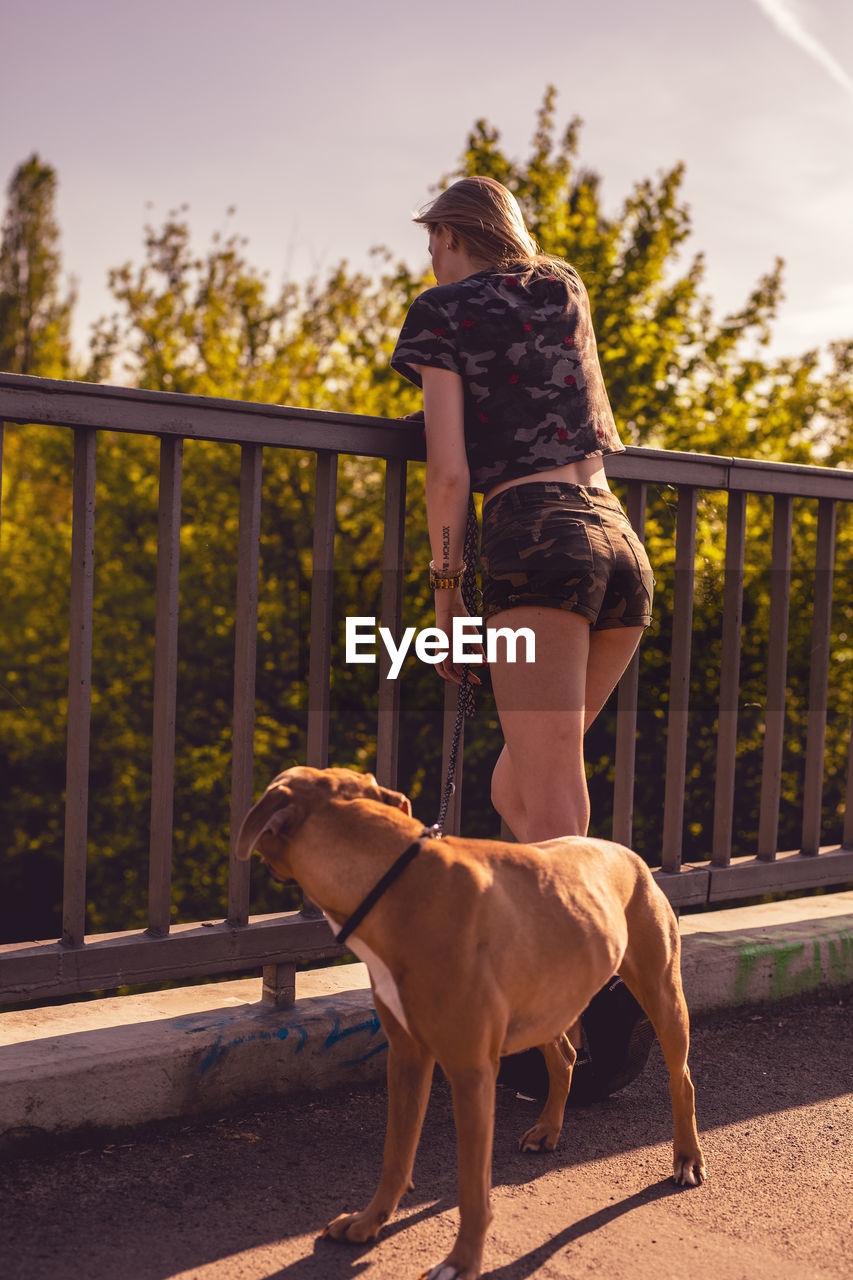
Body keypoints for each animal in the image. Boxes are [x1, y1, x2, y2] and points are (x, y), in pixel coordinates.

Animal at [235, 768, 701, 1280]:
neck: (397, 885)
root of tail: (624, 850)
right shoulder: (408, 1057)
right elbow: (396, 1153)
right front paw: (369, 1221)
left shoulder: (470, 1072)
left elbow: (472, 1187)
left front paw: (461, 1261)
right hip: (544, 1002)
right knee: (564, 1057)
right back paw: (549, 1128)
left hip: (662, 995)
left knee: (681, 1079)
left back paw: (686, 1158)